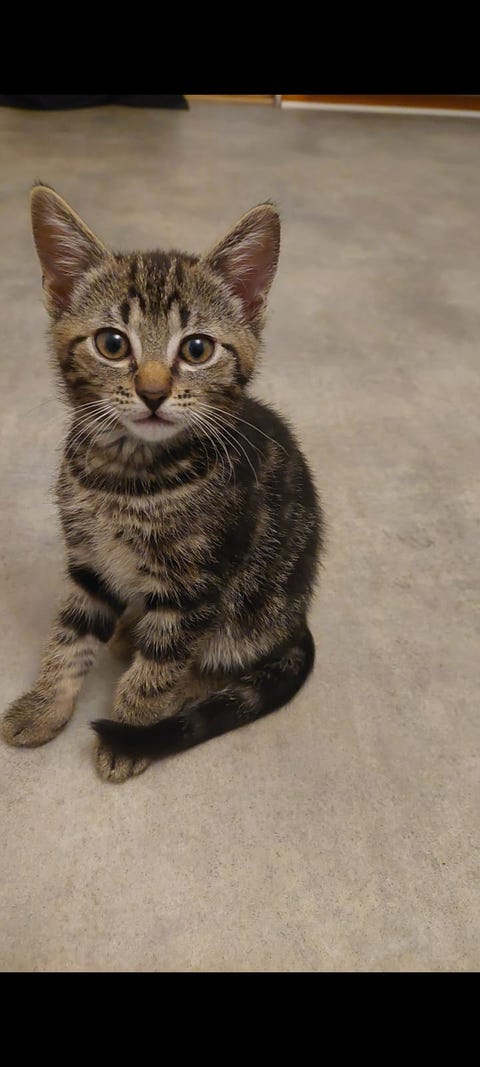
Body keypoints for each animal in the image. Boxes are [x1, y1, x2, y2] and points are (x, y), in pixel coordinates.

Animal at [1, 184, 324, 783]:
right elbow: (70, 633)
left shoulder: (196, 585)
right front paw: (44, 704)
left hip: (254, 608)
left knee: (222, 662)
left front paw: (132, 731)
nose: (152, 392)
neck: (127, 475)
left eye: (196, 349)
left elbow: (160, 666)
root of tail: (299, 623)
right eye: (112, 343)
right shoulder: (90, 558)